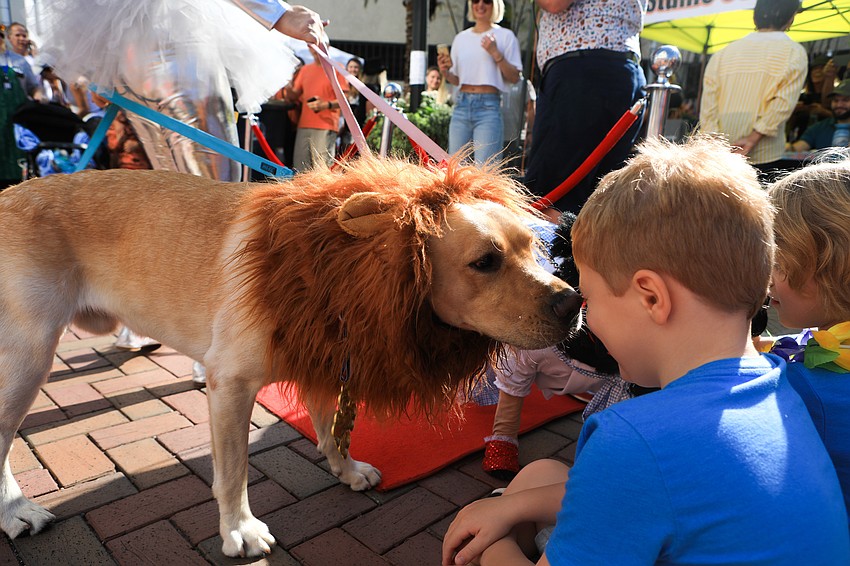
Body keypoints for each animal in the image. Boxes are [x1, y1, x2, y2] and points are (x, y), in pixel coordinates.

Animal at [0, 157, 581, 557]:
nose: (574, 302)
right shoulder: (232, 385)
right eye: (485, 262)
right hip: (26, 359)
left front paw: (346, 469)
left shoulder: (326, 359)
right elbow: (233, 470)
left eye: (536, 248)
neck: (339, 260)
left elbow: (331, 430)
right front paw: (238, 529)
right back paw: (15, 511)